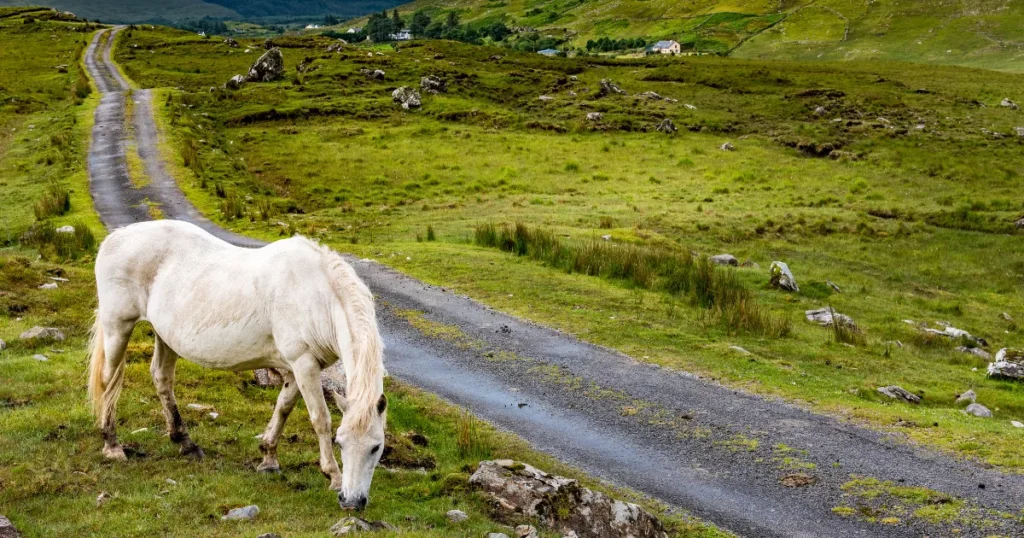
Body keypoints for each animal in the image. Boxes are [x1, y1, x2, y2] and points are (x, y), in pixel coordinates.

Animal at [89, 220, 387, 510]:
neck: (317, 295)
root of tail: (115, 238)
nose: (352, 502)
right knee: (108, 380)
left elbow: (283, 408)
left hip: (165, 337)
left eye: (376, 446)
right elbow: (320, 419)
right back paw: (112, 445)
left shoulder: (297, 368)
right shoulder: (303, 364)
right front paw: (333, 475)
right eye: (340, 442)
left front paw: (269, 457)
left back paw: (186, 443)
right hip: (118, 327)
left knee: (161, 378)